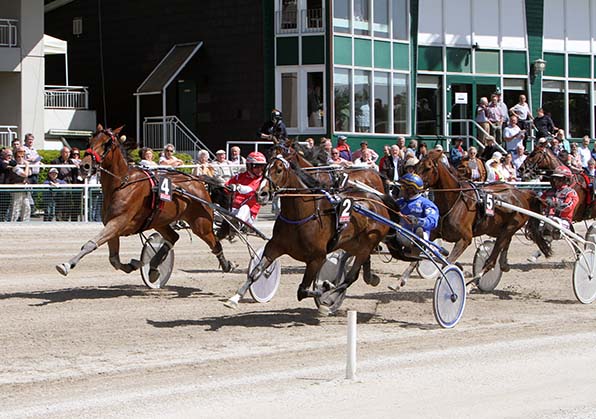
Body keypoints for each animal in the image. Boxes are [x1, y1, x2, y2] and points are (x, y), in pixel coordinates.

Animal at [56, 126, 233, 280]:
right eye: (90, 141)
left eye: (107, 143)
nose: (85, 166)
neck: (122, 183)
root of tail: (198, 181)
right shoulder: (112, 225)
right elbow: (114, 259)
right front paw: (133, 264)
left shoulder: (118, 222)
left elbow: (91, 244)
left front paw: (66, 265)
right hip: (160, 221)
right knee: (173, 237)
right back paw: (153, 266)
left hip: (201, 224)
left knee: (215, 243)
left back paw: (227, 265)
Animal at [226, 156, 394, 314]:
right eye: (264, 170)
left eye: (279, 170)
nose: (262, 193)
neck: (300, 216)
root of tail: (379, 201)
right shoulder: (274, 247)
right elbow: (256, 272)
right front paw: (234, 299)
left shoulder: (317, 258)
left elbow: (302, 291)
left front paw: (326, 290)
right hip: (353, 244)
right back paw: (371, 278)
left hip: (366, 245)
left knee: (350, 277)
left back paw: (331, 295)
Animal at [414, 149, 548, 284]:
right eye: (416, 165)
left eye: (428, 168)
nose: (413, 184)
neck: (454, 200)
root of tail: (522, 193)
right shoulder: (434, 233)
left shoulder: (465, 239)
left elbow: (448, 262)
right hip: (497, 229)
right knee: (506, 242)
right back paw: (503, 264)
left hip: (509, 227)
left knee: (491, 260)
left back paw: (472, 283)